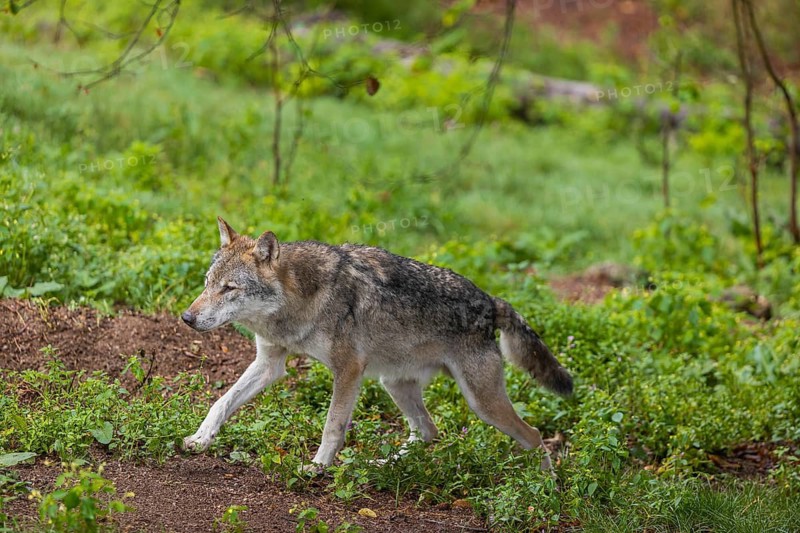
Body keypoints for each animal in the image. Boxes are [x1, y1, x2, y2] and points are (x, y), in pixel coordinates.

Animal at [181, 217, 573, 470]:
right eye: (207, 283)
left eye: (229, 288)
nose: (187, 318)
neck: (299, 299)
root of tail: (491, 301)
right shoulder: (269, 364)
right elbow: (220, 402)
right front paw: (200, 439)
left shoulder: (348, 370)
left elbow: (332, 425)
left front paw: (317, 468)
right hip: (394, 384)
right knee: (429, 432)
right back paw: (381, 464)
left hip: (481, 403)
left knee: (534, 435)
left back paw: (543, 490)